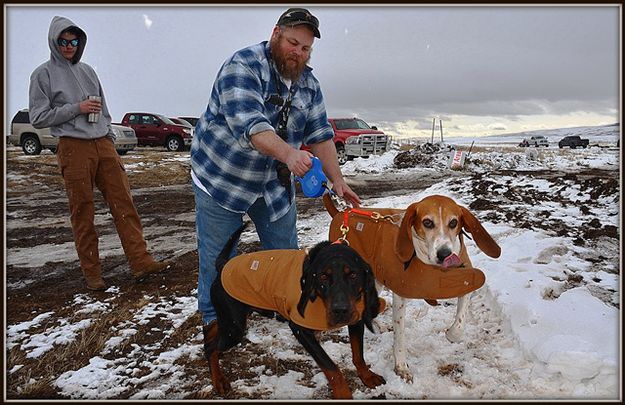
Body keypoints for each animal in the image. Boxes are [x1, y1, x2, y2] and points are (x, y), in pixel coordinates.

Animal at [206, 226, 386, 400]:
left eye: (353, 275)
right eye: (323, 277)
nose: (340, 310)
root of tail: (222, 266)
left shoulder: (356, 320)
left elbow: (358, 355)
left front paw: (367, 376)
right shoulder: (300, 329)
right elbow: (332, 368)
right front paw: (343, 395)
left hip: (233, 319)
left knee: (212, 327)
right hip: (234, 329)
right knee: (211, 347)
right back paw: (218, 380)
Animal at [324, 194, 500, 380]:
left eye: (453, 223)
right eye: (427, 222)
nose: (444, 254)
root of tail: (341, 214)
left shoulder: (466, 281)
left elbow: (459, 324)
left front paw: (451, 334)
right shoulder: (400, 298)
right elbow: (400, 337)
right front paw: (401, 367)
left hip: (376, 281)